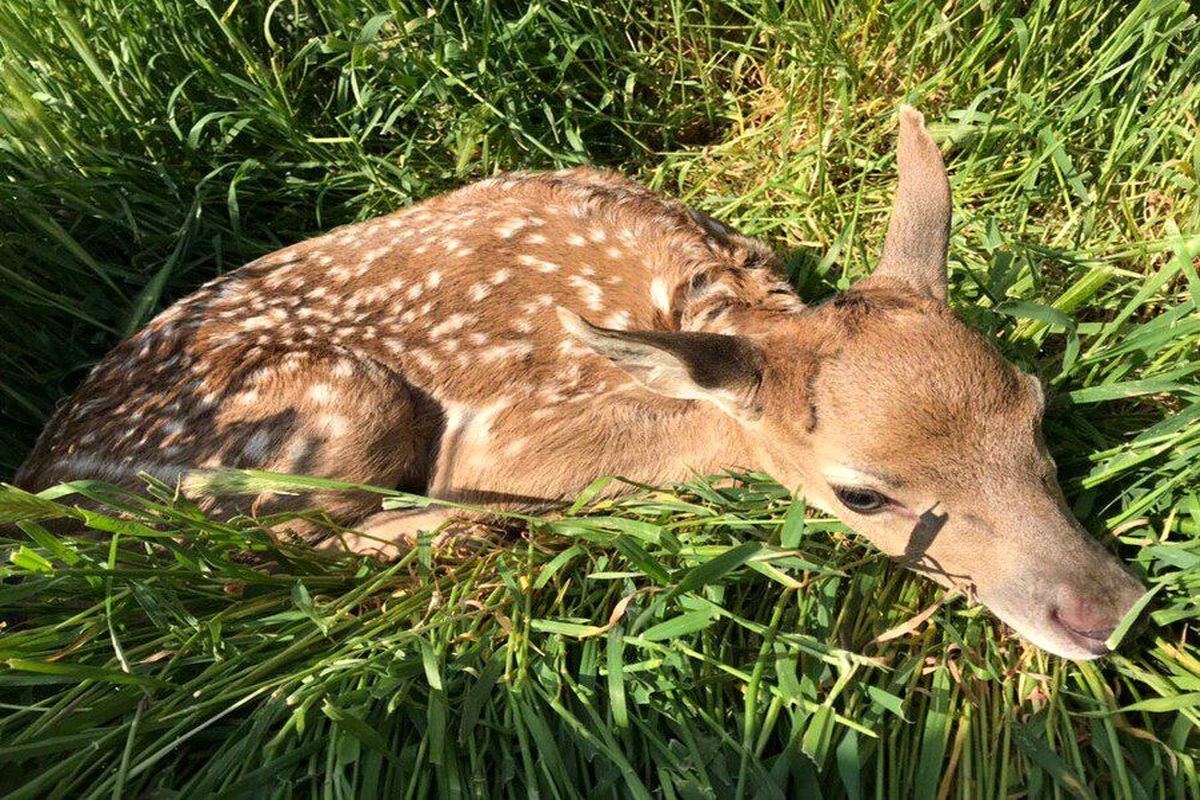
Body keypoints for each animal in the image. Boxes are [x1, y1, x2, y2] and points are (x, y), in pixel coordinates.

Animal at [18, 104, 1142, 657]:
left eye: (1035, 405)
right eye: (861, 494)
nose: (1109, 610)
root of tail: (40, 478)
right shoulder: (510, 429)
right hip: (327, 409)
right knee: (263, 548)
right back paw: (461, 531)